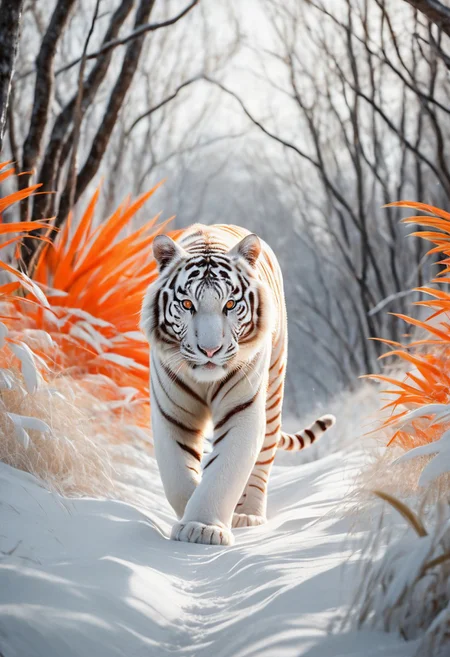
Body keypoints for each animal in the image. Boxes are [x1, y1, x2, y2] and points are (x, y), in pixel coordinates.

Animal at [140, 224, 335, 546]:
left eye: (229, 305)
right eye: (187, 304)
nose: (209, 350)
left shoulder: (243, 408)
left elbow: (225, 469)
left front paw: (203, 526)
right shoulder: (172, 413)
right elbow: (177, 475)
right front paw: (190, 515)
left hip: (273, 393)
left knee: (263, 461)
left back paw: (248, 515)